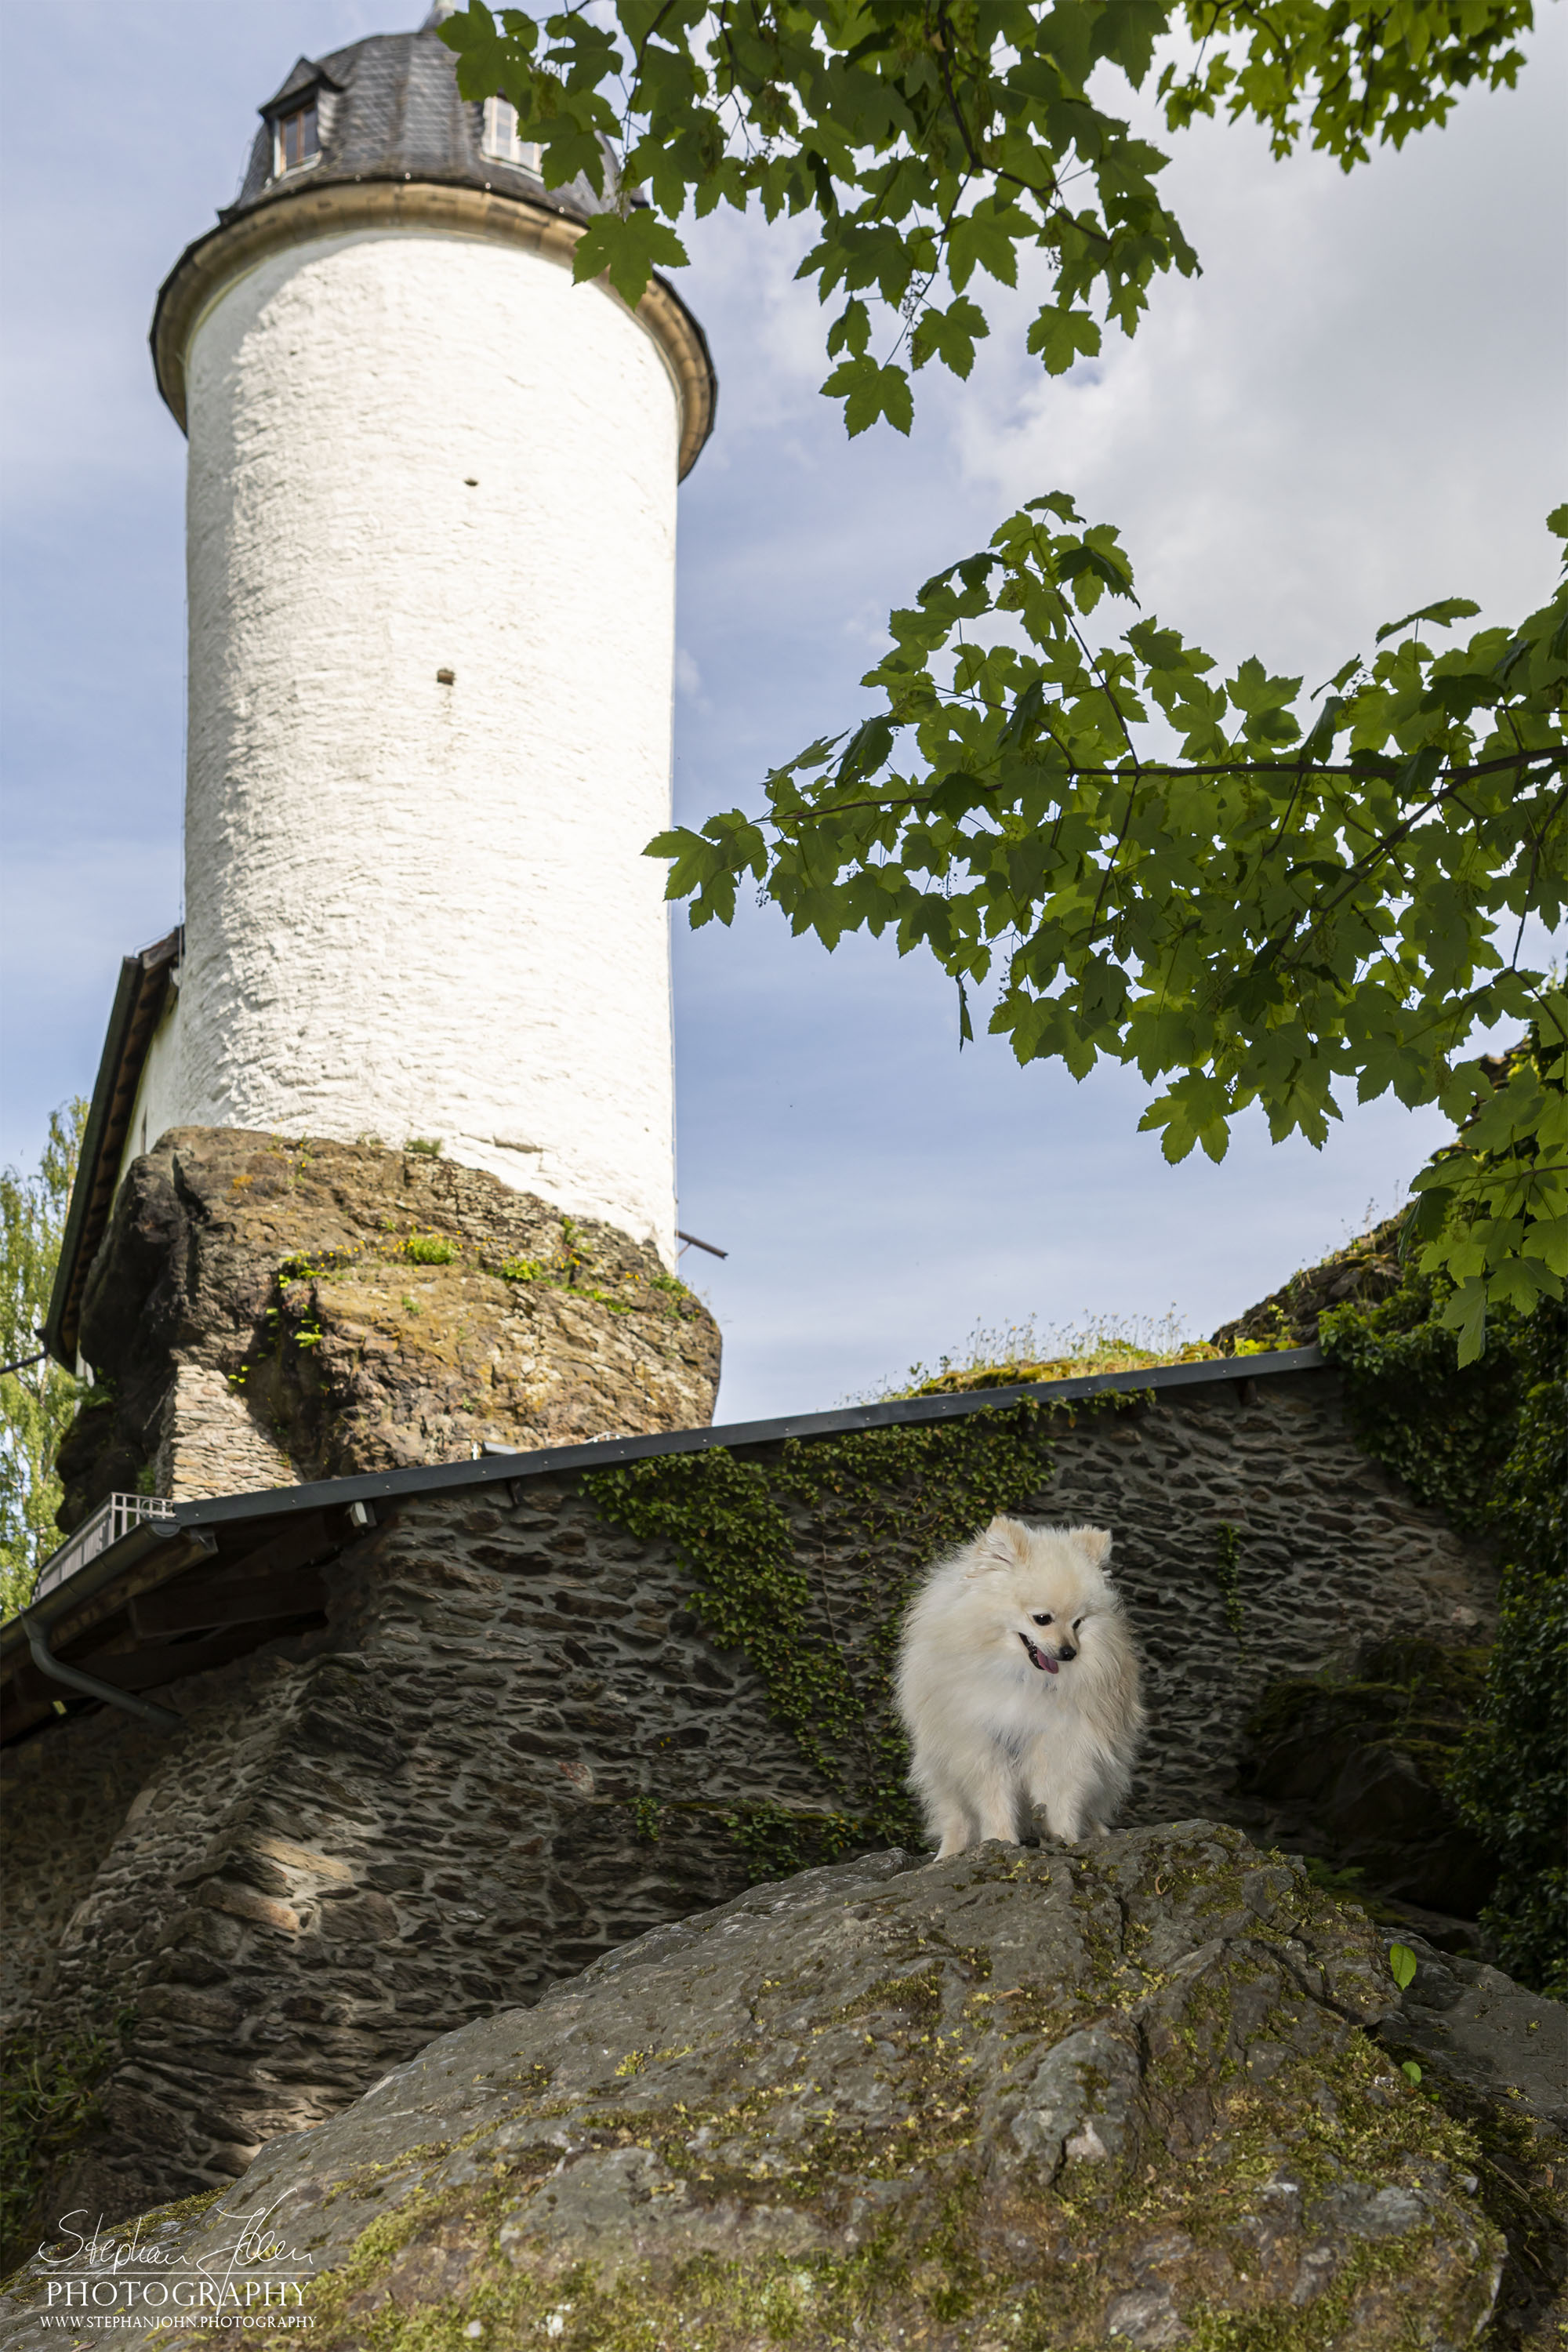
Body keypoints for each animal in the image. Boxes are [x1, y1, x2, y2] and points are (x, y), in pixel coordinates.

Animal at [893, 1524, 1142, 1853]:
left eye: (1078, 1622)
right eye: (1042, 1619)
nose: (1069, 1652)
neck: (1024, 1676)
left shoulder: (1060, 1745)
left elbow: (1058, 1801)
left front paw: (1063, 1839)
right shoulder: (983, 1747)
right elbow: (994, 1802)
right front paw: (1000, 1841)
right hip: (944, 1773)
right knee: (956, 1819)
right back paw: (948, 1853)